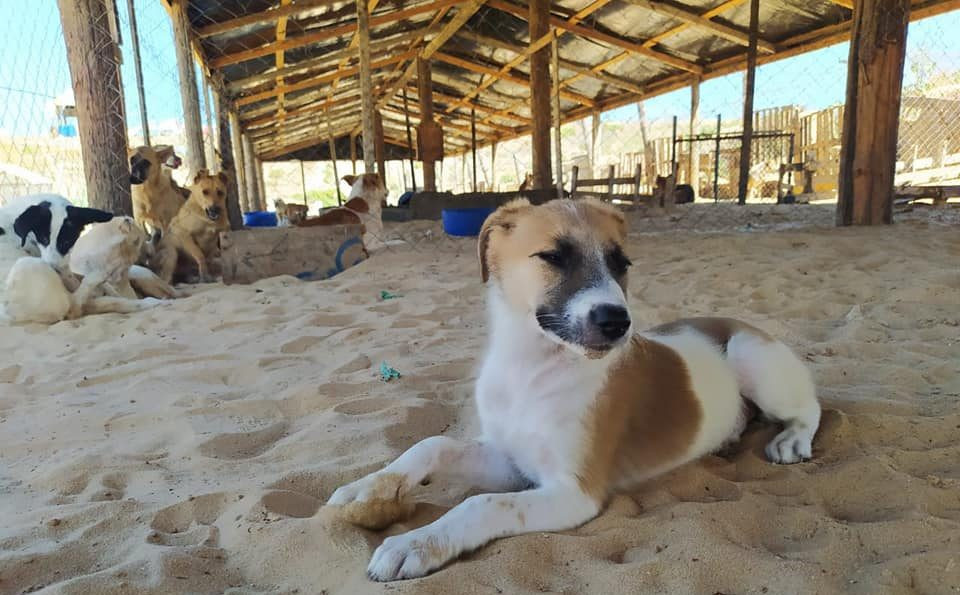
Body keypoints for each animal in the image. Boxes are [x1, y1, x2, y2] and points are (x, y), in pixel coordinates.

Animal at [328, 199, 816, 584]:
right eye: (552, 256)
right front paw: (367, 488)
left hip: (753, 358)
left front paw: (417, 542)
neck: (531, 367)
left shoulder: (573, 492)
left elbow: (481, 505)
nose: (617, 322)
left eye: (621, 264)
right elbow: (433, 444)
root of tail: (738, 323)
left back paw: (791, 439)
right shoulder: (510, 461)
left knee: (811, 406)